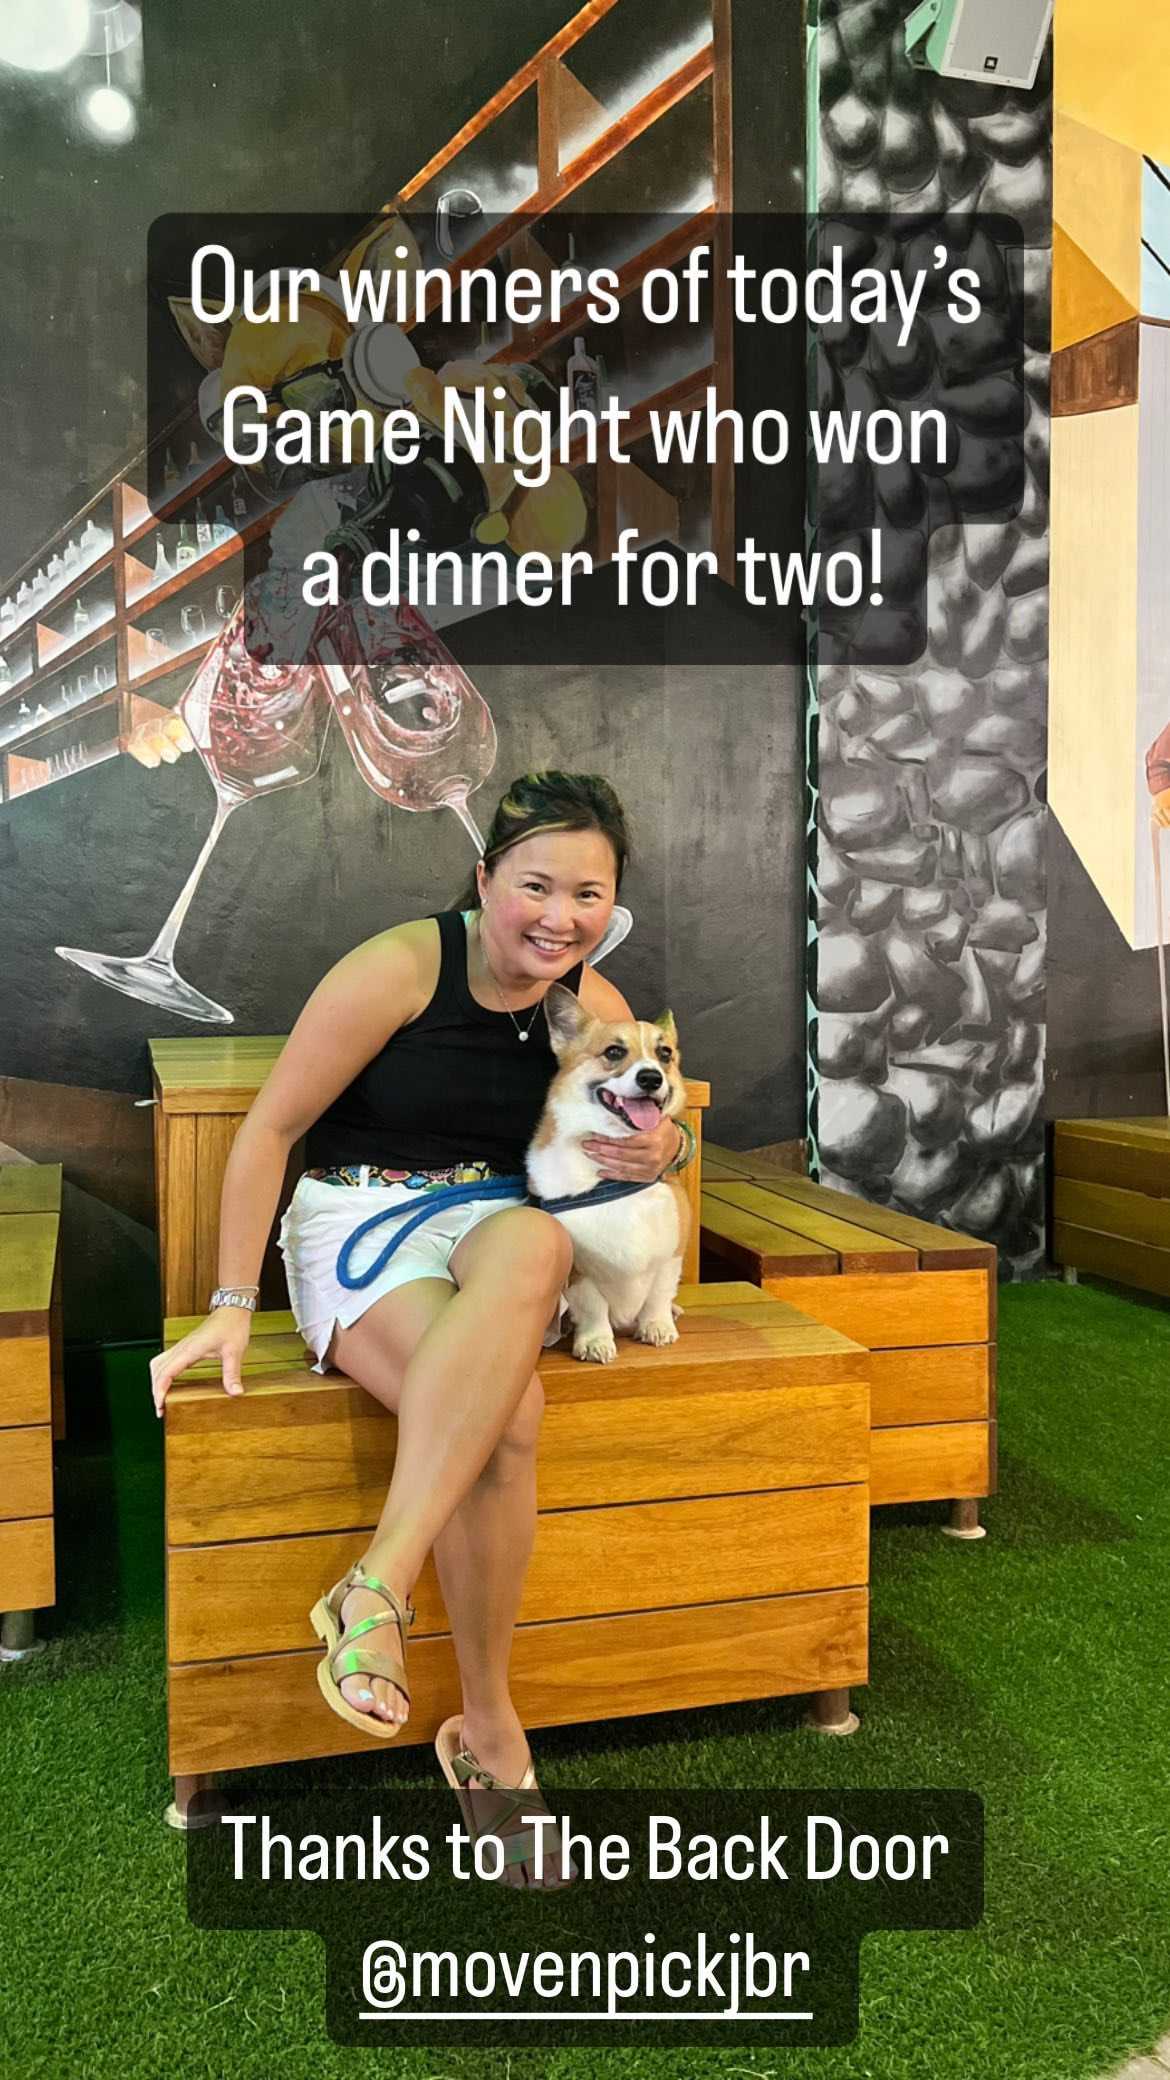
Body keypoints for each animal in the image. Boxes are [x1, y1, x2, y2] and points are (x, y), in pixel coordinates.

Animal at [526, 985, 690, 1364]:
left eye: (664, 1054)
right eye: (614, 1052)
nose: (651, 1078)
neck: (613, 1181)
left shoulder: (672, 1252)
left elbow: (659, 1293)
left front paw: (657, 1325)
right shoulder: (579, 1272)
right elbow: (592, 1307)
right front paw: (595, 1341)